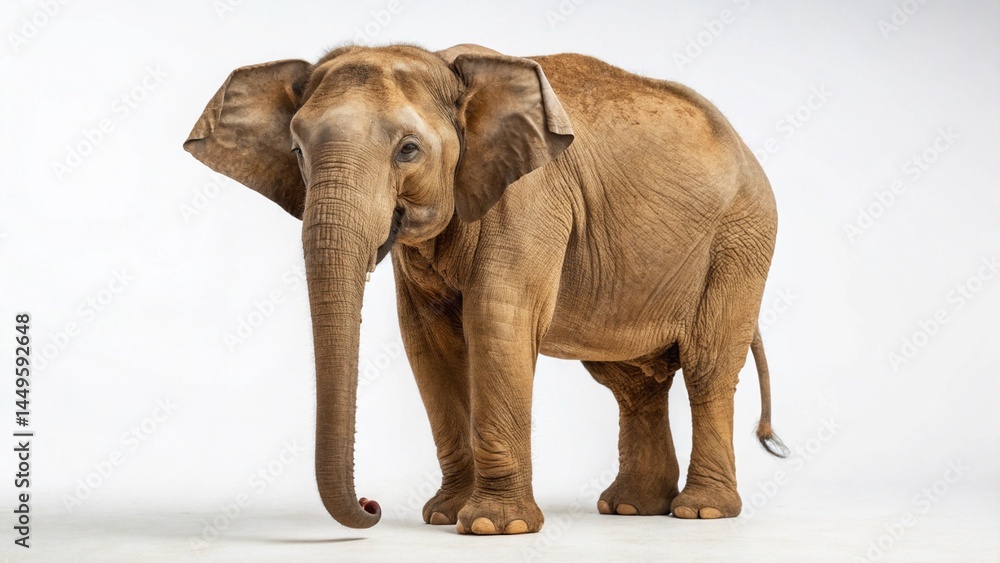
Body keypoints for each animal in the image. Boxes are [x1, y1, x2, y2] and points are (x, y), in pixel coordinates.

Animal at [183, 43, 787, 536]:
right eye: (297, 153)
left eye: (408, 150)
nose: (372, 505)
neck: (442, 64)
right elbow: (429, 342)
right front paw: (444, 516)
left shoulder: (529, 198)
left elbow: (498, 322)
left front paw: (495, 527)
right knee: (632, 381)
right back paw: (632, 509)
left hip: (740, 241)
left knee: (708, 366)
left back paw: (700, 512)